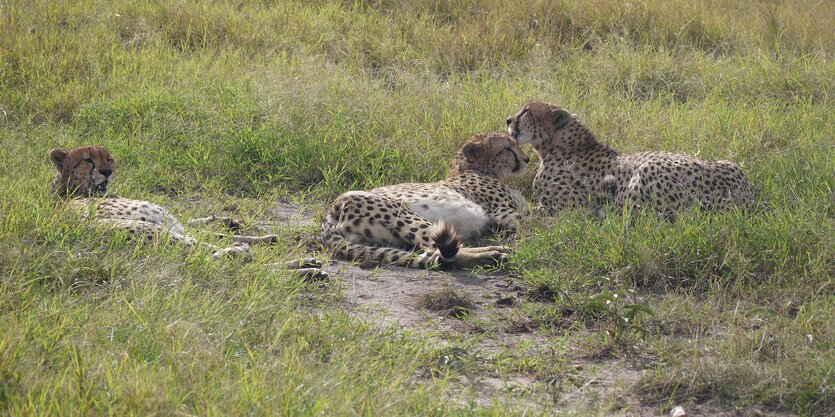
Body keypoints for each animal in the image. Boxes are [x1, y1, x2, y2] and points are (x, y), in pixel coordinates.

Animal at [49, 145, 324, 276]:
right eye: (88, 160)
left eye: (109, 158)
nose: (107, 171)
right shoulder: (166, 226)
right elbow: (213, 237)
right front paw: (253, 238)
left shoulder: (175, 225)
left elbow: (209, 228)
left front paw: (252, 231)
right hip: (155, 234)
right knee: (221, 261)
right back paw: (307, 268)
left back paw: (310, 268)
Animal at [322, 132, 528, 270]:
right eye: (508, 148)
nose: (526, 159)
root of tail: (330, 215)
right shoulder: (504, 211)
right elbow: (533, 222)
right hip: (407, 215)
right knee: (439, 251)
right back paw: (491, 253)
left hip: (386, 240)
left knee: (433, 254)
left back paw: (488, 256)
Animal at [510, 101, 756, 216]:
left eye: (526, 111)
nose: (508, 120)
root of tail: (741, 199)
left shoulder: (568, 205)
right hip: (729, 164)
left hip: (646, 171)